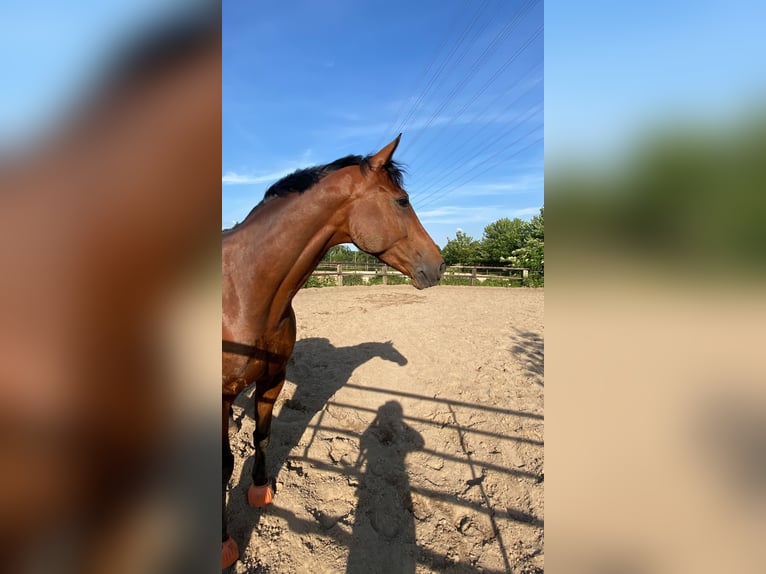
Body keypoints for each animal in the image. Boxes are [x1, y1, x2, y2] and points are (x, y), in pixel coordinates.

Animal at [222, 136, 448, 572]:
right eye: (402, 201)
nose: (440, 265)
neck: (243, 291)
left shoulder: (272, 380)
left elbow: (263, 434)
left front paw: (259, 490)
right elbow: (223, 463)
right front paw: (224, 544)